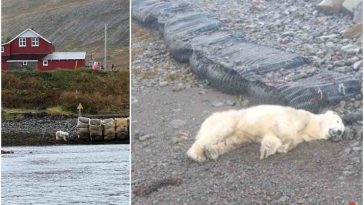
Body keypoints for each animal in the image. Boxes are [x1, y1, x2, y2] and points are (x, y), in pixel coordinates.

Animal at [188, 105, 344, 163]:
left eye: (342, 131)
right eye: (338, 121)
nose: (339, 133)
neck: (311, 125)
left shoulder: (302, 135)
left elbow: (273, 138)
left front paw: (268, 150)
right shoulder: (299, 116)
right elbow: (283, 128)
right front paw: (284, 144)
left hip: (240, 134)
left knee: (232, 142)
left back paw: (211, 151)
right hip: (230, 119)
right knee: (219, 132)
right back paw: (196, 154)